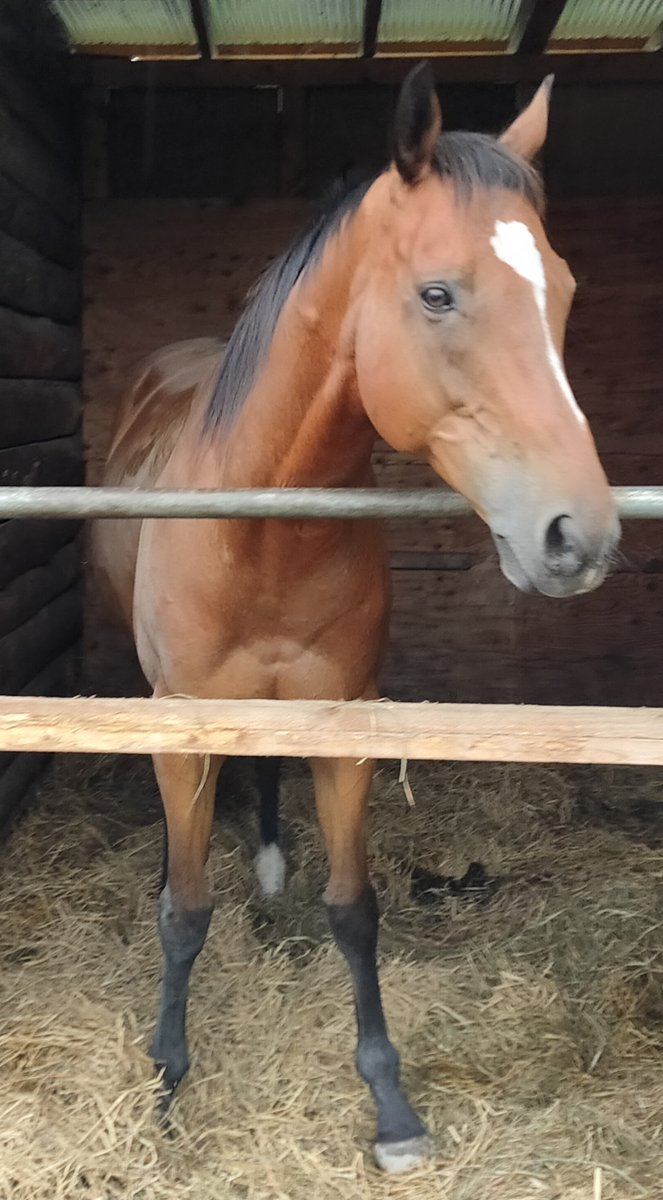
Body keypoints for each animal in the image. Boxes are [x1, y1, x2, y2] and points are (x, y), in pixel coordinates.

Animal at [93, 63, 620, 1173]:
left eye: (562, 290)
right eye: (437, 293)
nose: (578, 536)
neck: (266, 533)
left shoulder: (346, 729)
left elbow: (355, 909)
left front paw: (391, 1106)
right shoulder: (183, 724)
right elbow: (184, 914)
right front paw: (166, 1083)